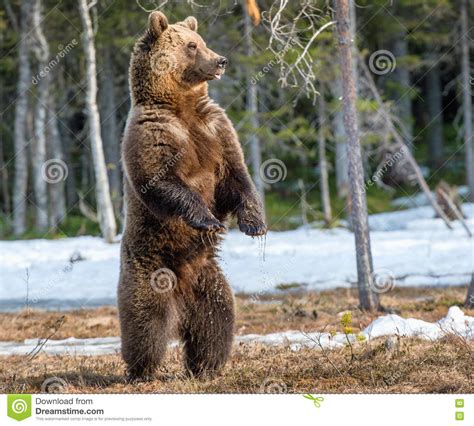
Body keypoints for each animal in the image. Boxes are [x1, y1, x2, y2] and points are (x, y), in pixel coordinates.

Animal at [117, 10, 266, 380]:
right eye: (191, 46)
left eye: (202, 41)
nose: (220, 60)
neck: (181, 106)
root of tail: (181, 297)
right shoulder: (153, 134)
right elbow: (161, 183)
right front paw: (208, 220)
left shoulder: (216, 130)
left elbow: (236, 178)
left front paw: (255, 224)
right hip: (149, 267)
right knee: (145, 322)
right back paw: (140, 369)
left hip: (207, 277)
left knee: (216, 320)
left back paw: (207, 365)